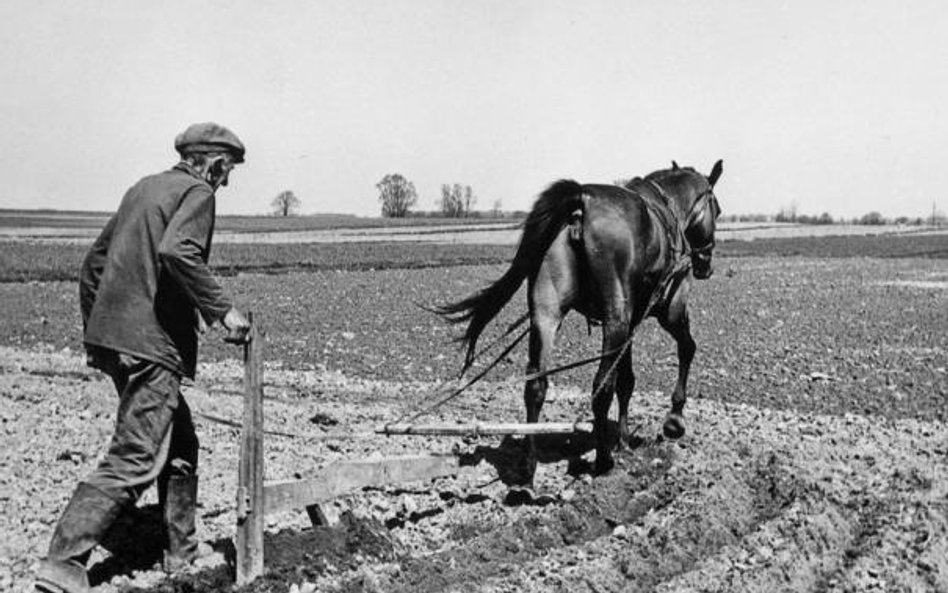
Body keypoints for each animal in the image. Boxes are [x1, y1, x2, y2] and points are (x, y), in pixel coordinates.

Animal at [440, 161, 724, 476]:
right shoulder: (669, 311)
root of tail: (581, 201)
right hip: (615, 320)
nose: (705, 265)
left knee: (536, 385)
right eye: (717, 210)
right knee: (601, 388)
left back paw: (528, 466)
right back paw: (603, 461)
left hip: (546, 314)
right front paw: (674, 421)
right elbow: (686, 349)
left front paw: (623, 439)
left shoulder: (631, 324)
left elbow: (627, 380)